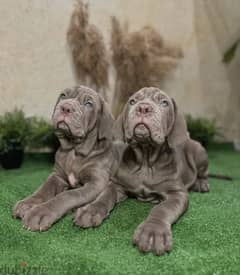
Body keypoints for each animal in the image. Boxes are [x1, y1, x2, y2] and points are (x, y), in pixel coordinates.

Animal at [12, 86, 114, 233]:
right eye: (63, 95)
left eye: (89, 104)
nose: (66, 107)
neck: (73, 151)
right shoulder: (57, 176)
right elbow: (44, 188)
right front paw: (28, 203)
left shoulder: (96, 183)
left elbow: (68, 195)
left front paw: (40, 212)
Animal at [76, 87, 209, 256]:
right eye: (132, 101)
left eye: (164, 103)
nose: (143, 108)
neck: (146, 161)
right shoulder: (117, 184)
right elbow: (105, 195)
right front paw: (90, 210)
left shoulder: (178, 193)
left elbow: (163, 208)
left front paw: (153, 231)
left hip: (199, 151)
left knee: (203, 172)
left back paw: (201, 184)